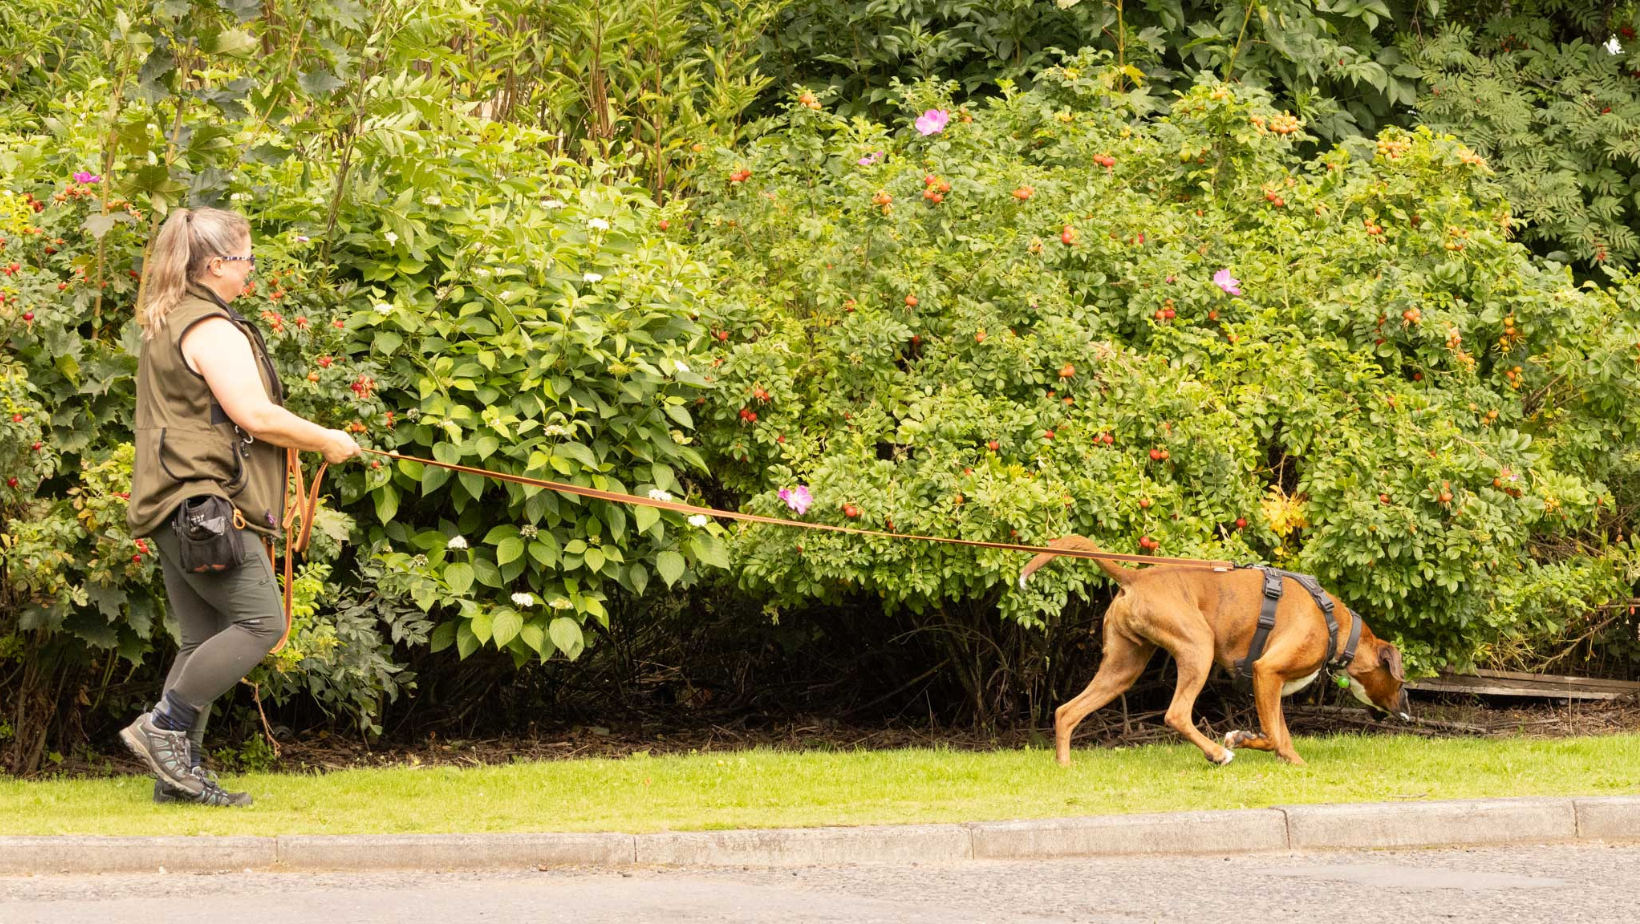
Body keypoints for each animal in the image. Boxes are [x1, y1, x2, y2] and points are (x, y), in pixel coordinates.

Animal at [1010, 535, 1410, 768]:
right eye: (1402, 682)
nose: (1407, 713)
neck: (1338, 627)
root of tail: (1136, 577)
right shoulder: (1266, 673)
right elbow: (1274, 735)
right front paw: (1251, 744)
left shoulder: (1270, 684)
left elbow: (1277, 733)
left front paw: (1274, 752)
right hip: (1198, 648)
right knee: (1176, 714)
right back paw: (1217, 754)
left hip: (1122, 669)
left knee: (1066, 711)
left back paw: (1065, 767)